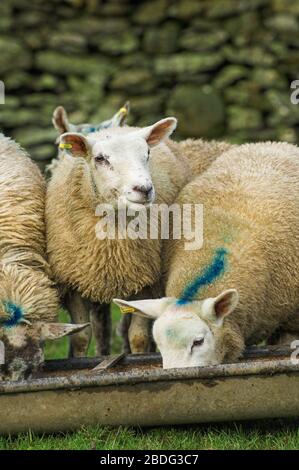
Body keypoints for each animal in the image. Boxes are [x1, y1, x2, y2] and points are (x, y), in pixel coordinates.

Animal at [46, 115, 193, 354]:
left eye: (147, 153)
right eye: (100, 158)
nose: (144, 189)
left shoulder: (145, 279)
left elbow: (138, 337)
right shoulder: (74, 280)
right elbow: (81, 337)